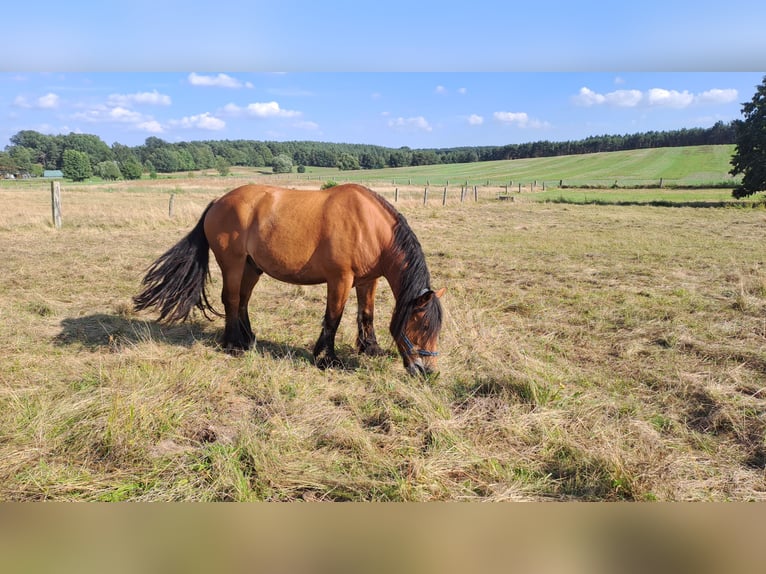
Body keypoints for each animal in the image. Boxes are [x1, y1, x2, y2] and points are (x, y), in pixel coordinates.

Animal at [133, 183, 445, 376]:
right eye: (421, 325)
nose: (426, 371)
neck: (368, 225)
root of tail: (217, 202)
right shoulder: (340, 279)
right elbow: (333, 318)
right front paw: (327, 358)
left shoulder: (368, 280)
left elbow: (366, 314)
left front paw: (370, 348)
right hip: (233, 264)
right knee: (231, 299)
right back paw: (233, 344)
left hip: (252, 267)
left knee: (243, 300)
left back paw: (248, 338)